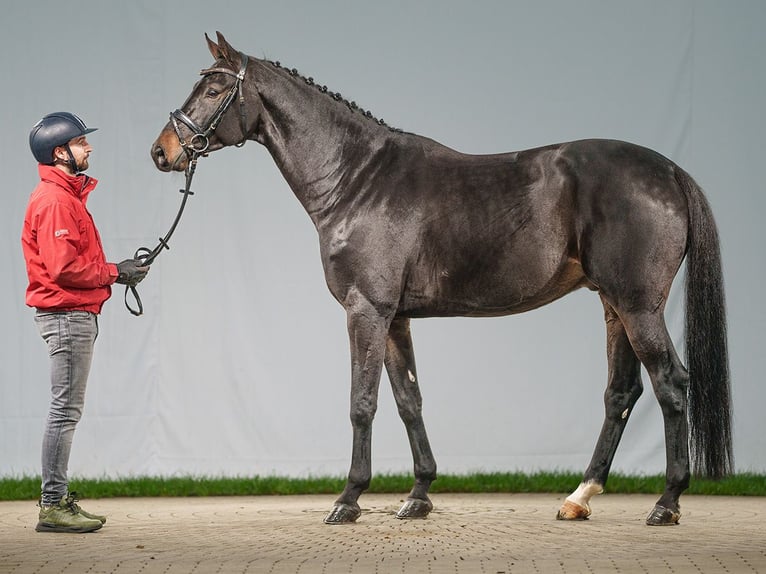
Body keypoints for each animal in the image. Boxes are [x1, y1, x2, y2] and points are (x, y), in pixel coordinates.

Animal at [152, 31, 736, 528]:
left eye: (213, 88)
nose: (163, 151)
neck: (357, 179)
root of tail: (670, 171)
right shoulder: (394, 318)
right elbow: (409, 399)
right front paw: (418, 496)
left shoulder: (365, 311)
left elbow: (362, 403)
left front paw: (348, 499)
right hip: (615, 306)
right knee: (622, 392)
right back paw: (579, 497)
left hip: (638, 306)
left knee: (671, 384)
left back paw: (666, 502)